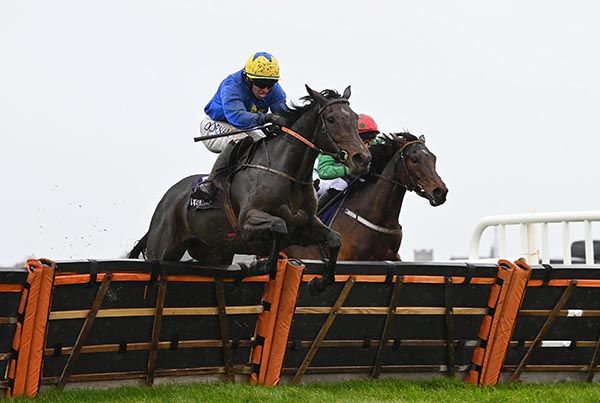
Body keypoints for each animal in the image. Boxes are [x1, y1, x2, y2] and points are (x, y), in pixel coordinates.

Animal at [127, 85, 370, 294]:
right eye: (331, 119)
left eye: (354, 118)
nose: (363, 158)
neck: (288, 173)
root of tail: (167, 198)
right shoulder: (247, 222)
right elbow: (279, 226)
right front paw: (261, 266)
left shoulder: (305, 227)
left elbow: (335, 239)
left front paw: (319, 283)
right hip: (163, 249)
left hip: (213, 252)